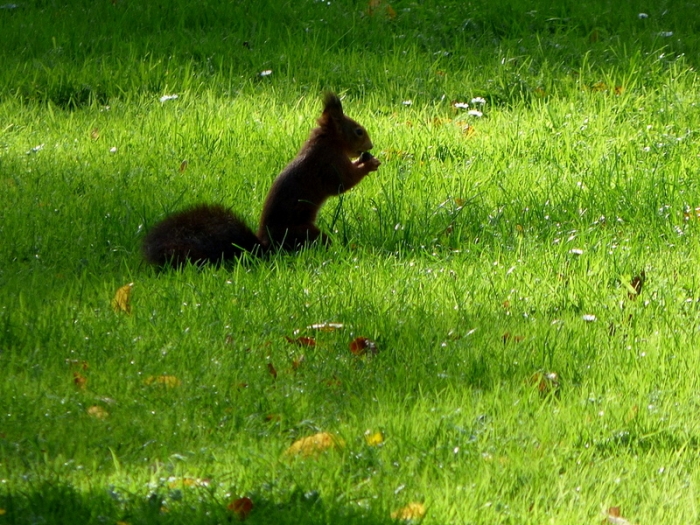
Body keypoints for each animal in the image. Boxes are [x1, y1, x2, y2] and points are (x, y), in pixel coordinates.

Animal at [142, 92, 381, 268]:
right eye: (358, 131)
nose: (370, 146)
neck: (328, 139)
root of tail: (266, 246)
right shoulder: (328, 162)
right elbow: (342, 183)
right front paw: (369, 164)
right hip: (301, 232)